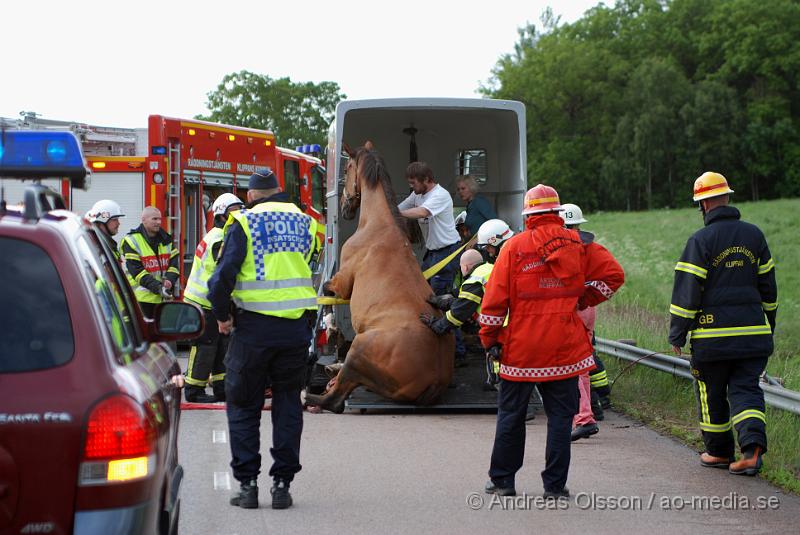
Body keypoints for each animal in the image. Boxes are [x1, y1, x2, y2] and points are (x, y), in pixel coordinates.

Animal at [304, 143, 456, 414]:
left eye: (348, 167)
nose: (344, 205)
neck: (378, 226)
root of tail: (436, 379)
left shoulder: (343, 284)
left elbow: (328, 290)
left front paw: (330, 325)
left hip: (358, 350)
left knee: (335, 401)